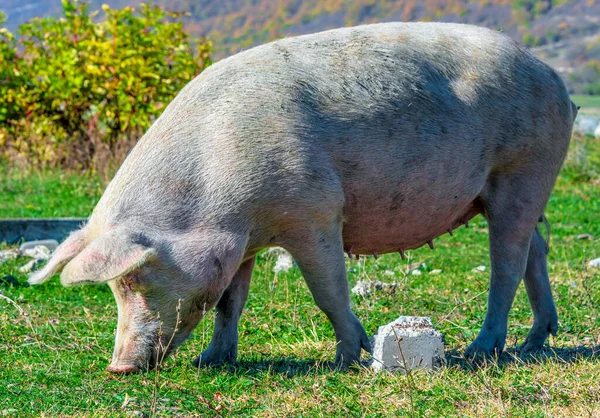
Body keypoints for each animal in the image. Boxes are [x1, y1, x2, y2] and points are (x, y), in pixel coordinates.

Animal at [29, 22, 576, 372]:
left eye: (136, 279)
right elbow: (229, 300)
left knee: (507, 262)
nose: (118, 367)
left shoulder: (314, 212)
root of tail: (556, 79)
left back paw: (481, 351)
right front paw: (213, 360)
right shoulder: (240, 242)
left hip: (524, 168)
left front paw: (349, 356)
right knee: (535, 250)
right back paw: (535, 340)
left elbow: (327, 290)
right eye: (115, 289)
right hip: (515, 190)